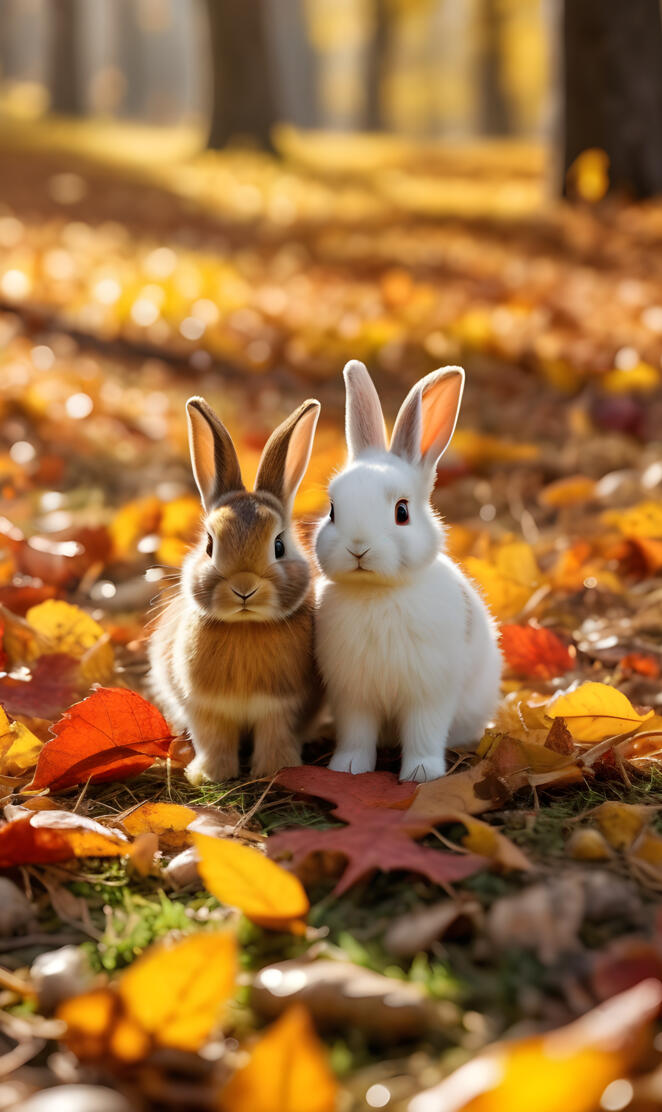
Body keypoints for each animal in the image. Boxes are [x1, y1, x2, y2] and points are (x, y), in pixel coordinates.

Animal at [149, 395, 323, 785]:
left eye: (279, 546)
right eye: (210, 546)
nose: (244, 589)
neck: (246, 627)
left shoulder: (282, 709)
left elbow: (275, 735)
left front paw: (276, 769)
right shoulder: (205, 708)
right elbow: (214, 740)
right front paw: (209, 776)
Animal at [314, 360, 502, 783]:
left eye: (402, 511)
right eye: (333, 510)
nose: (358, 547)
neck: (378, 592)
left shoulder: (429, 694)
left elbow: (424, 734)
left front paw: (421, 775)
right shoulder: (353, 697)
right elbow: (356, 735)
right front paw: (348, 768)